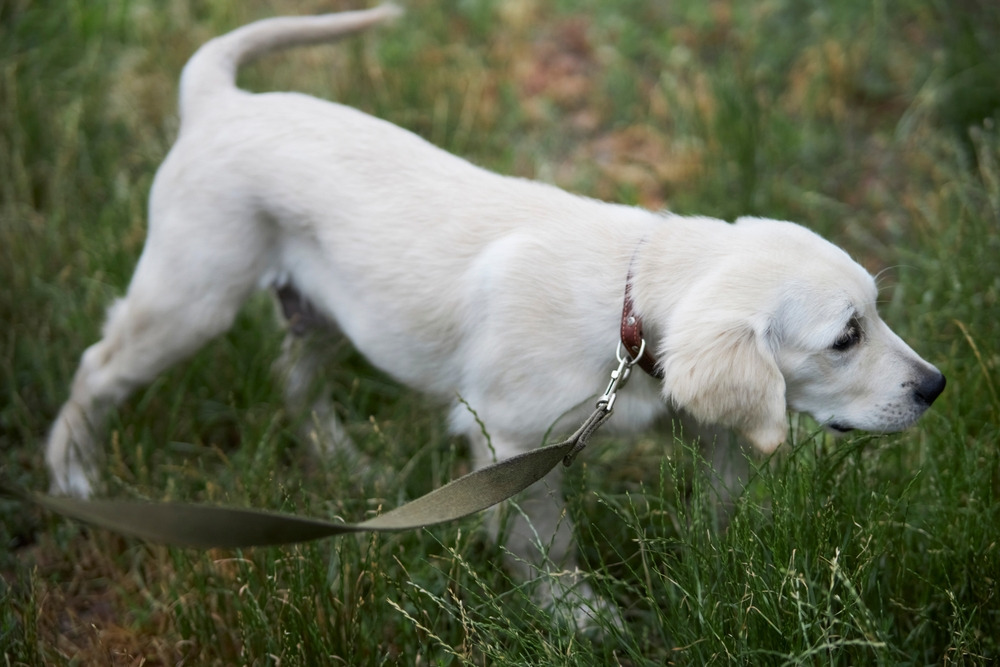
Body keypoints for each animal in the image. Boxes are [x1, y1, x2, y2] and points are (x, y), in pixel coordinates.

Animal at [47, 3, 944, 628]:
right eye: (845, 337)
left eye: (875, 312)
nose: (935, 386)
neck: (627, 304)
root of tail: (219, 100)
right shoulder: (513, 440)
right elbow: (549, 540)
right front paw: (579, 616)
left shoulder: (693, 411)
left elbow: (720, 491)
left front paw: (720, 563)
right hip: (192, 292)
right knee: (97, 366)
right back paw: (72, 473)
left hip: (326, 313)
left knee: (291, 375)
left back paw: (348, 464)